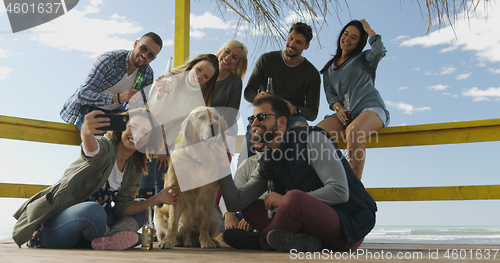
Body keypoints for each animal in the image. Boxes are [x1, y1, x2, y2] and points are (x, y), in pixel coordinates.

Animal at [155, 106, 229, 250]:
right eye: (202, 117)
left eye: (216, 118)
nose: (215, 125)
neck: (200, 157)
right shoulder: (175, 193)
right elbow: (173, 222)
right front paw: (168, 240)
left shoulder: (209, 196)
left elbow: (204, 223)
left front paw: (206, 241)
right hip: (158, 215)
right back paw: (175, 241)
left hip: (214, 215)